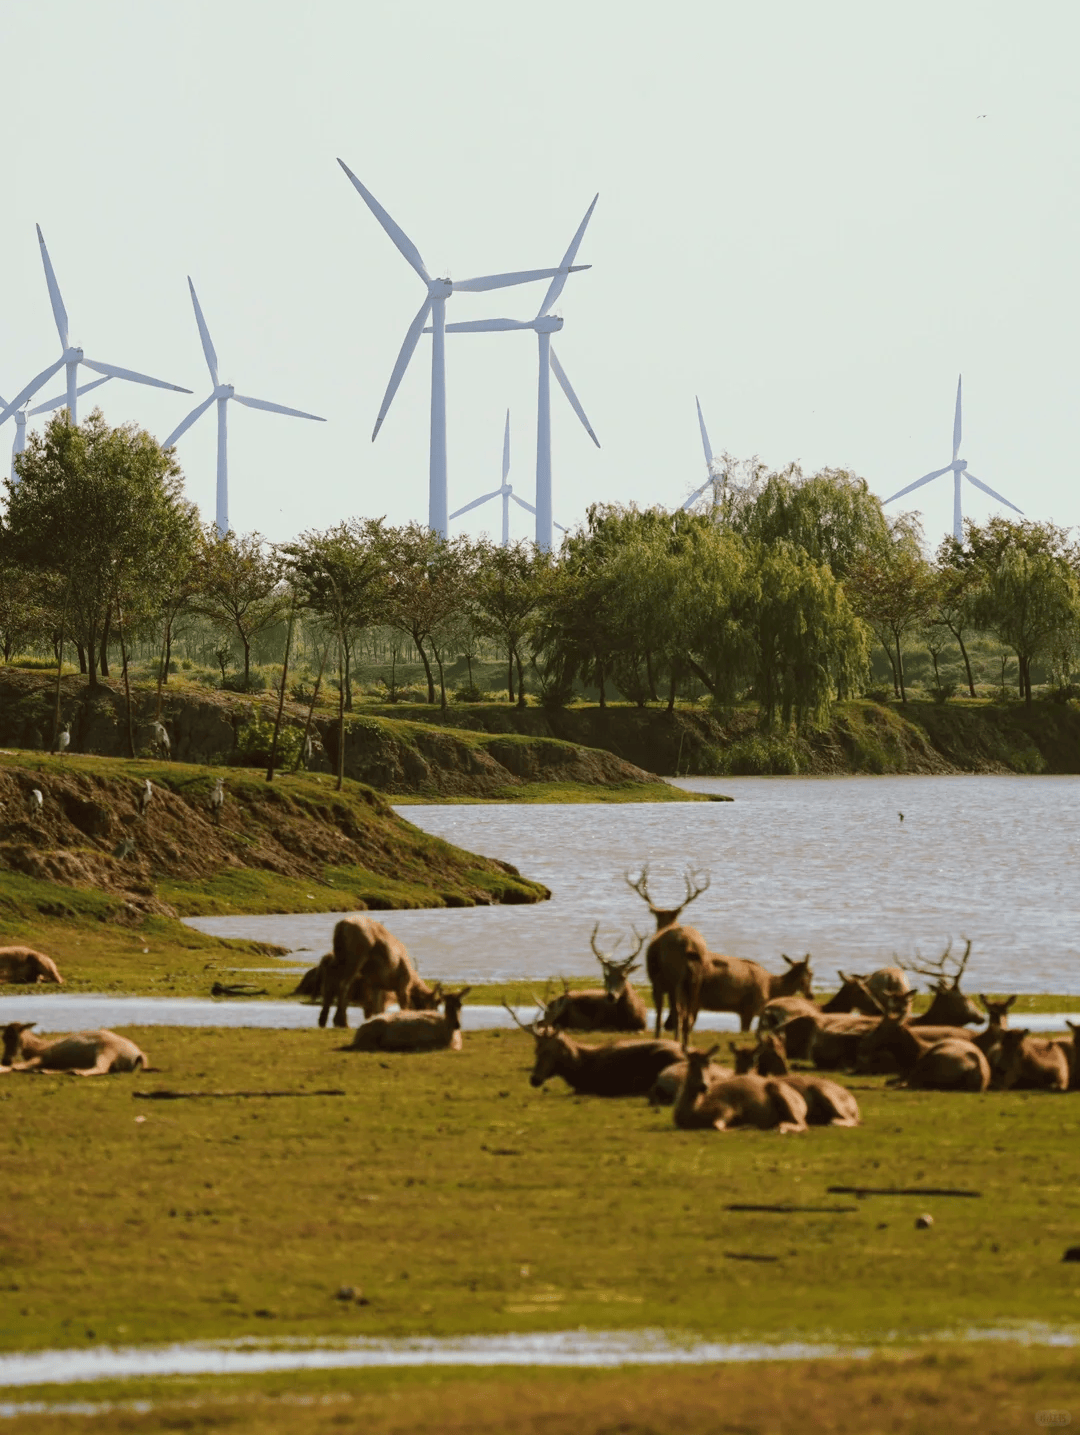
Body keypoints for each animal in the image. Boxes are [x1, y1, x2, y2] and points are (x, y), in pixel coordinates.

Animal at [1, 1021, 148, 1079]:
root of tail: (138, 1054)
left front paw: (4, 1068)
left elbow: (17, 1066)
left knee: (101, 1068)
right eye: (3, 1037)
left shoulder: (42, 1057)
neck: (37, 1047)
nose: (5, 1060)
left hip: (106, 1052)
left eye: (17, 1037)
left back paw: (77, 1072)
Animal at [622, 860, 708, 1044]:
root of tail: (690, 945)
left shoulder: (657, 981)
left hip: (676, 976)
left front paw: (657, 1038)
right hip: (697, 978)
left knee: (678, 1011)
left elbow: (660, 1011)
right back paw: (685, 1043)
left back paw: (677, 1041)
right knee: (689, 1012)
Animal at [671, 1050, 803, 1136]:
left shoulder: (727, 1107)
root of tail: (802, 1102)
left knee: (802, 1124)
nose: (704, 1086)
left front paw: (746, 1126)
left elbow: (717, 1125)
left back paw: (779, 1127)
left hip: (780, 1092)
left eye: (709, 1064)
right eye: (691, 1064)